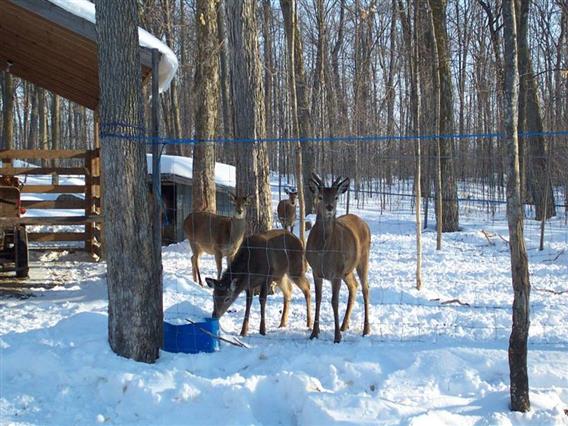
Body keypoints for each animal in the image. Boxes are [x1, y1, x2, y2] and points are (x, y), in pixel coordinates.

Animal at [306, 173, 372, 342]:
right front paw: (314, 332)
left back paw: (366, 329)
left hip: (363, 258)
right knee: (354, 286)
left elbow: (334, 301)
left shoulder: (335, 273)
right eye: (321, 196)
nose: (330, 207)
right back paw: (344, 325)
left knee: (365, 288)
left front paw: (337, 337)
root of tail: (364, 223)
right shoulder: (316, 271)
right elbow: (318, 299)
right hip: (347, 270)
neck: (323, 250)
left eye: (336, 197)